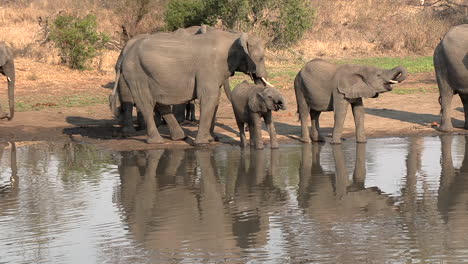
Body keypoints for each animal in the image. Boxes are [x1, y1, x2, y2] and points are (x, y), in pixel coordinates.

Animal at [114, 29, 272, 144]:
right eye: (261, 58)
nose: (247, 128)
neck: (234, 35)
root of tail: (125, 55)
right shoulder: (209, 67)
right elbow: (209, 97)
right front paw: (202, 143)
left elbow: (215, 99)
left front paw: (210, 139)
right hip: (136, 73)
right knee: (146, 103)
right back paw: (157, 142)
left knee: (159, 102)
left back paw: (180, 137)